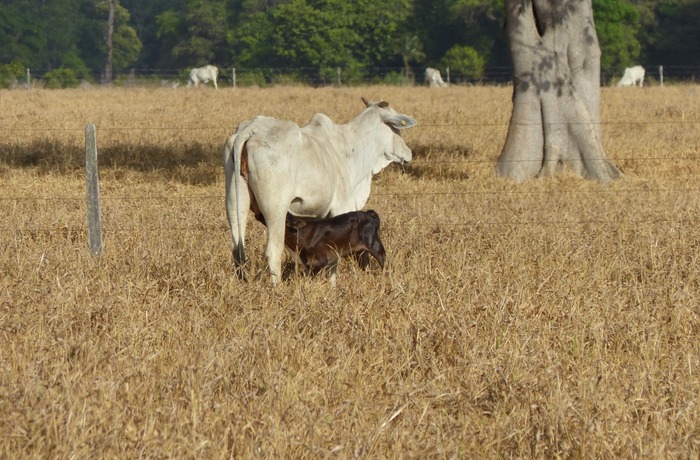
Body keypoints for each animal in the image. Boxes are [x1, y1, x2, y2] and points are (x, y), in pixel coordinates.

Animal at [224, 97, 416, 284]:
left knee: (237, 249)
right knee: (273, 250)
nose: (409, 153)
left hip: (235, 202)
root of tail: (251, 130)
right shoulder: (341, 208)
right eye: (397, 128)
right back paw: (276, 287)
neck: (348, 147)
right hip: (275, 209)